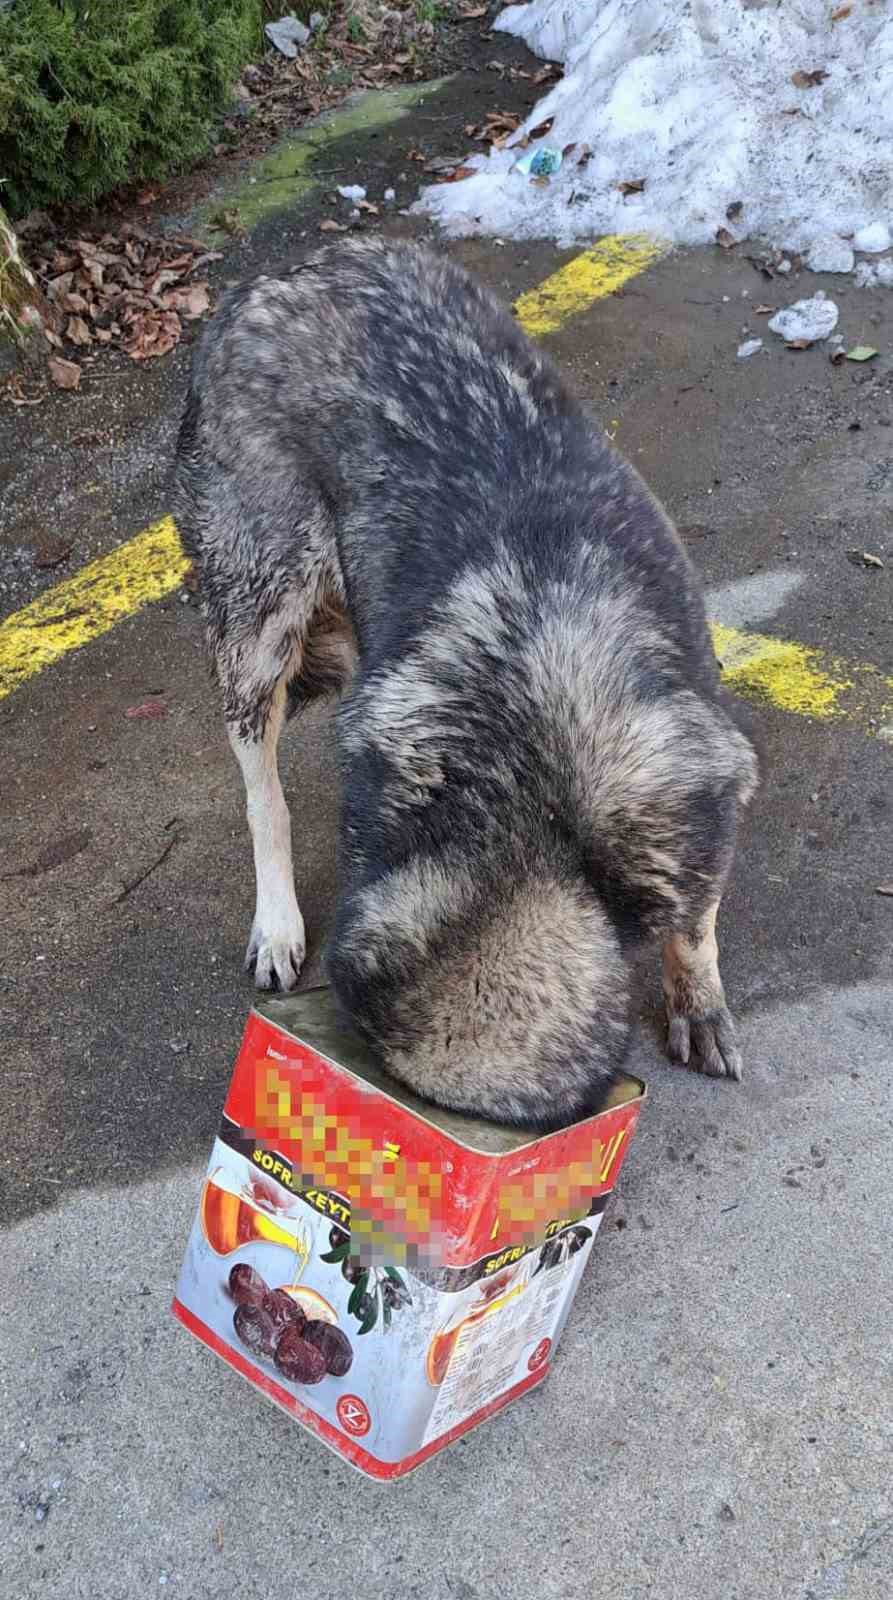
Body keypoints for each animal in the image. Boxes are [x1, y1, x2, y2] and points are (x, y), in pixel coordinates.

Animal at [175, 240, 761, 1139]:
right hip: (259, 620)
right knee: (260, 789)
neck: (527, 810)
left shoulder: (690, 797)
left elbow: (693, 928)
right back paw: (276, 916)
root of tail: (273, 277)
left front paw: (695, 996)